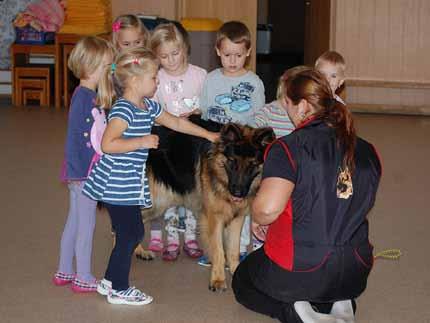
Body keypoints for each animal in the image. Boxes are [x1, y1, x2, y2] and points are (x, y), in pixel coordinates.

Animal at [135, 117, 276, 292]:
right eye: (232, 161)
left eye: (252, 164)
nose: (237, 192)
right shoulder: (214, 219)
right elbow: (219, 251)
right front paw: (218, 279)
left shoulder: (237, 218)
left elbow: (233, 250)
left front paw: (236, 272)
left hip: (157, 205)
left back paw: (139, 251)